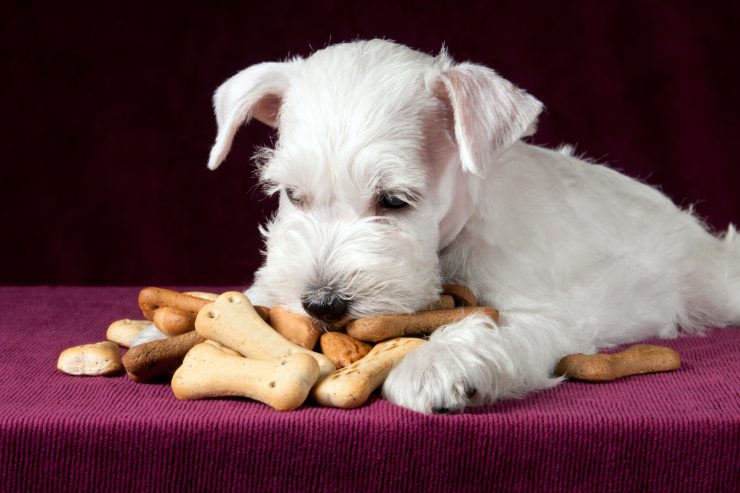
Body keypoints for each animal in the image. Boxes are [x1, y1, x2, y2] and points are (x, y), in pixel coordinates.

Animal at [194, 40, 736, 414]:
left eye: (394, 200)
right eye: (292, 194)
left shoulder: (545, 314)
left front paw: (436, 365)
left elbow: (491, 328)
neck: (455, 235)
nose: (321, 304)